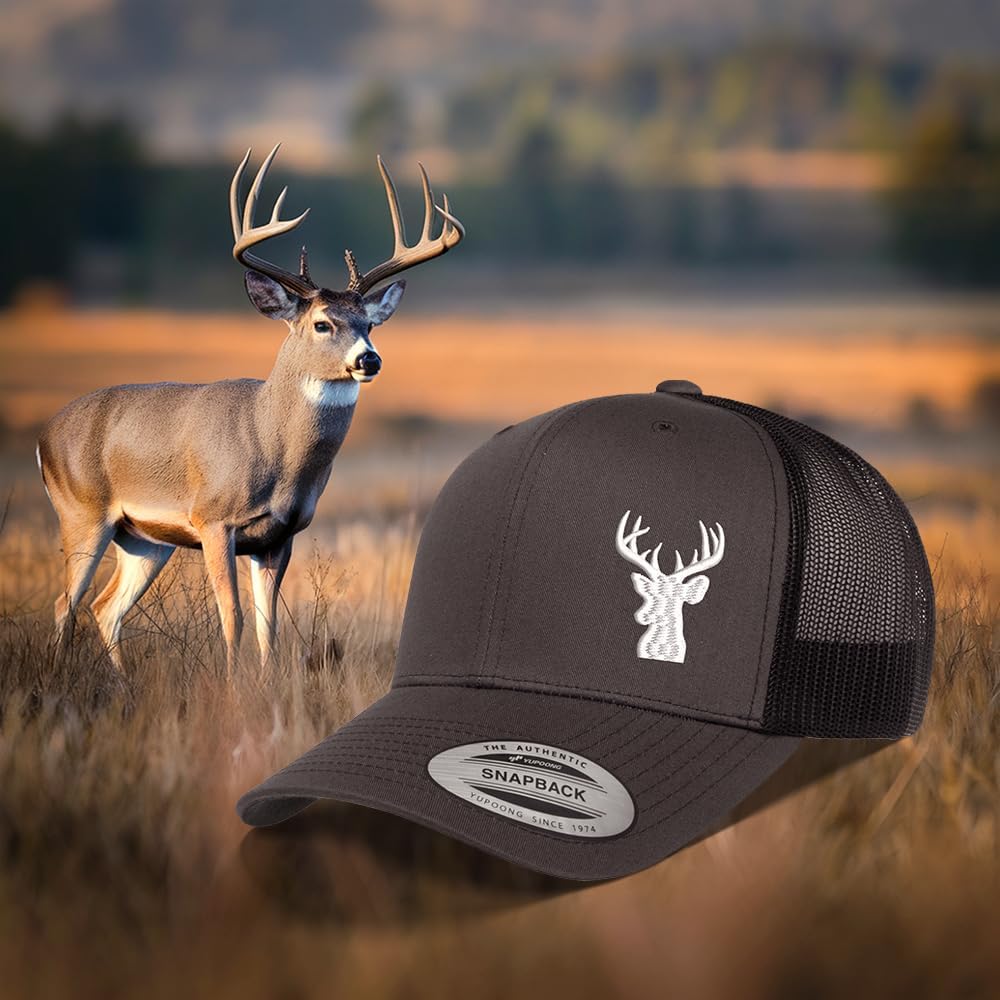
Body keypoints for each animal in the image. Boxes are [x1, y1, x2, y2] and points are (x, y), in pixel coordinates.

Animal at [36, 144, 464, 671]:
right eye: (322, 323)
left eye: (369, 323)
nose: (369, 359)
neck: (270, 444)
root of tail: (45, 435)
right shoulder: (213, 520)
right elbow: (233, 617)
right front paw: (231, 685)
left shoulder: (281, 535)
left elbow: (268, 628)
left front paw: (263, 683)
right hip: (82, 511)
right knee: (65, 603)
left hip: (142, 538)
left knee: (104, 606)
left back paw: (121, 679)